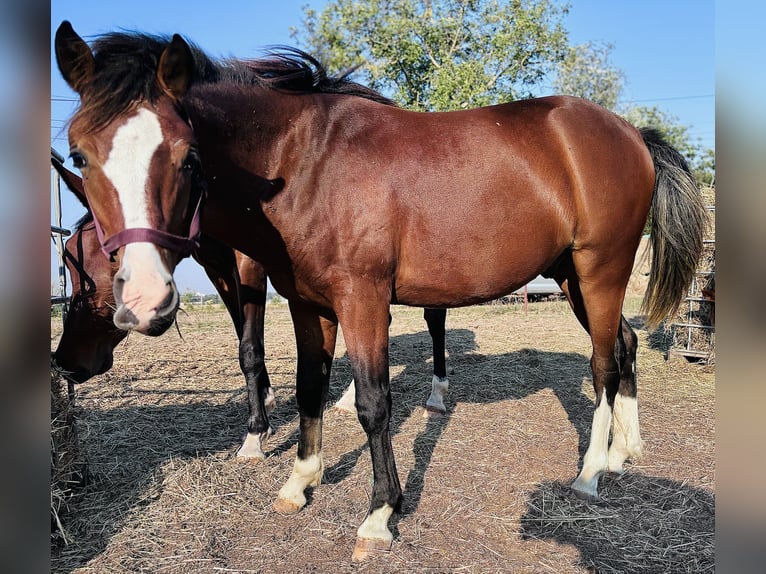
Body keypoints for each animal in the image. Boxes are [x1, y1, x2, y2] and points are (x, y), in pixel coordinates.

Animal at [57, 22, 712, 564]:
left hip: (601, 269)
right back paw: (625, 451)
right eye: (79, 155)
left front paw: (378, 515)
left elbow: (374, 404)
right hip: (573, 277)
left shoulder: (363, 299)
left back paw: (592, 471)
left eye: (187, 156)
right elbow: (310, 388)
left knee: (603, 363)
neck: (302, 162)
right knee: (623, 345)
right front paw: (299, 483)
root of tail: (630, 133)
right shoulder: (308, 304)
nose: (145, 301)